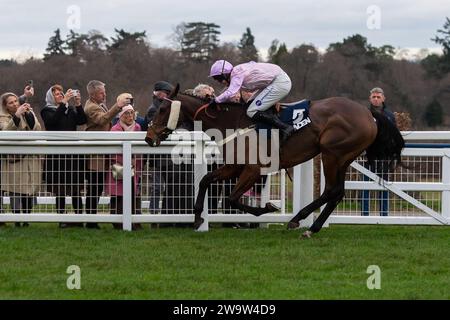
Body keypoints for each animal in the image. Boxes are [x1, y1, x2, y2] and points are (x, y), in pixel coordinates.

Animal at [145, 85, 404, 238]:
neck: (230, 121)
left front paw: (268, 208)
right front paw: (198, 216)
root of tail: (369, 114)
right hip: (343, 158)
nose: (149, 137)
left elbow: (232, 198)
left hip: (333, 154)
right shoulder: (234, 166)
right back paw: (309, 225)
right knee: (336, 192)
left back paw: (303, 223)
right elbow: (206, 180)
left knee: (332, 190)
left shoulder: (252, 169)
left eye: (162, 109)